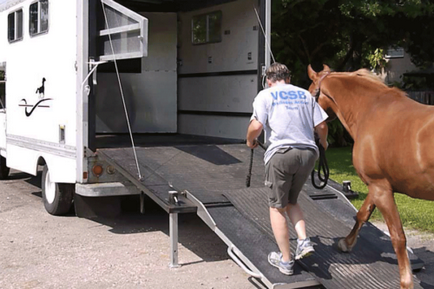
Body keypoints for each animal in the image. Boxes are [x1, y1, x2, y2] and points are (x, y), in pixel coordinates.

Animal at [308, 65, 434, 288]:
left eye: (308, 93)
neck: (370, 111)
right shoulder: (379, 187)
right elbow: (362, 214)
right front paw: (346, 243)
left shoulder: (380, 188)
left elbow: (397, 237)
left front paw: (406, 282)